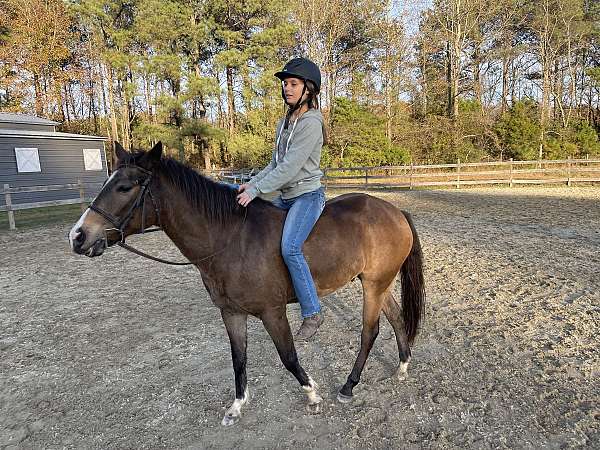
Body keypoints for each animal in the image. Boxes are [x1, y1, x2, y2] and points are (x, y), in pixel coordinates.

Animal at [69, 143, 426, 426]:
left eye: (125, 187)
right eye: (109, 182)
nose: (78, 236)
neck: (229, 239)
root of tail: (395, 210)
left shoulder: (273, 312)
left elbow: (288, 356)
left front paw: (312, 394)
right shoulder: (231, 313)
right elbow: (238, 359)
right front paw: (237, 406)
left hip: (373, 284)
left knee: (370, 331)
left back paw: (349, 386)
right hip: (379, 282)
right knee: (396, 319)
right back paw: (402, 368)